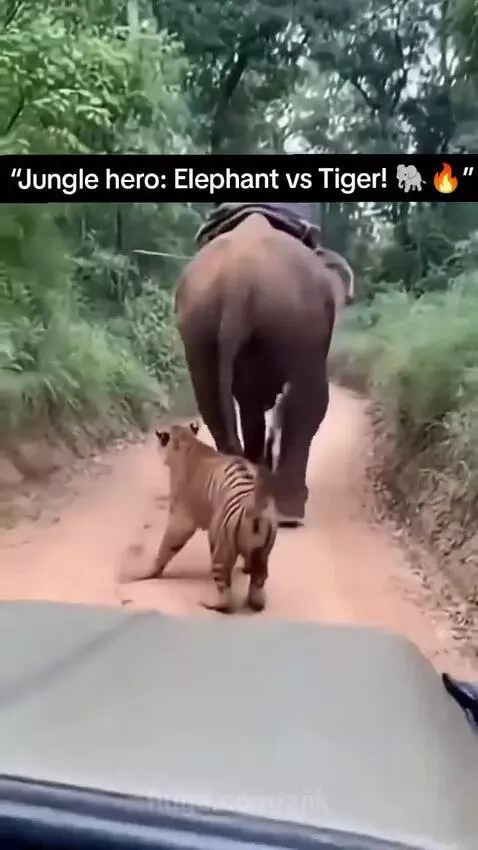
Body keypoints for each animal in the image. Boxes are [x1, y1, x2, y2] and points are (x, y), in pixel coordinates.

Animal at [118, 421, 277, 614]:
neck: (187, 441)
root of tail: (254, 505)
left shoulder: (180, 520)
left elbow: (164, 549)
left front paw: (147, 572)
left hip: (221, 545)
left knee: (224, 592)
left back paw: (210, 603)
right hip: (263, 551)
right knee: (259, 579)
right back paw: (256, 602)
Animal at [175, 211, 354, 527]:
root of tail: (237, 279)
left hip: (198, 325)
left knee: (211, 400)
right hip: (296, 317)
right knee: (309, 397)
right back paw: (290, 511)